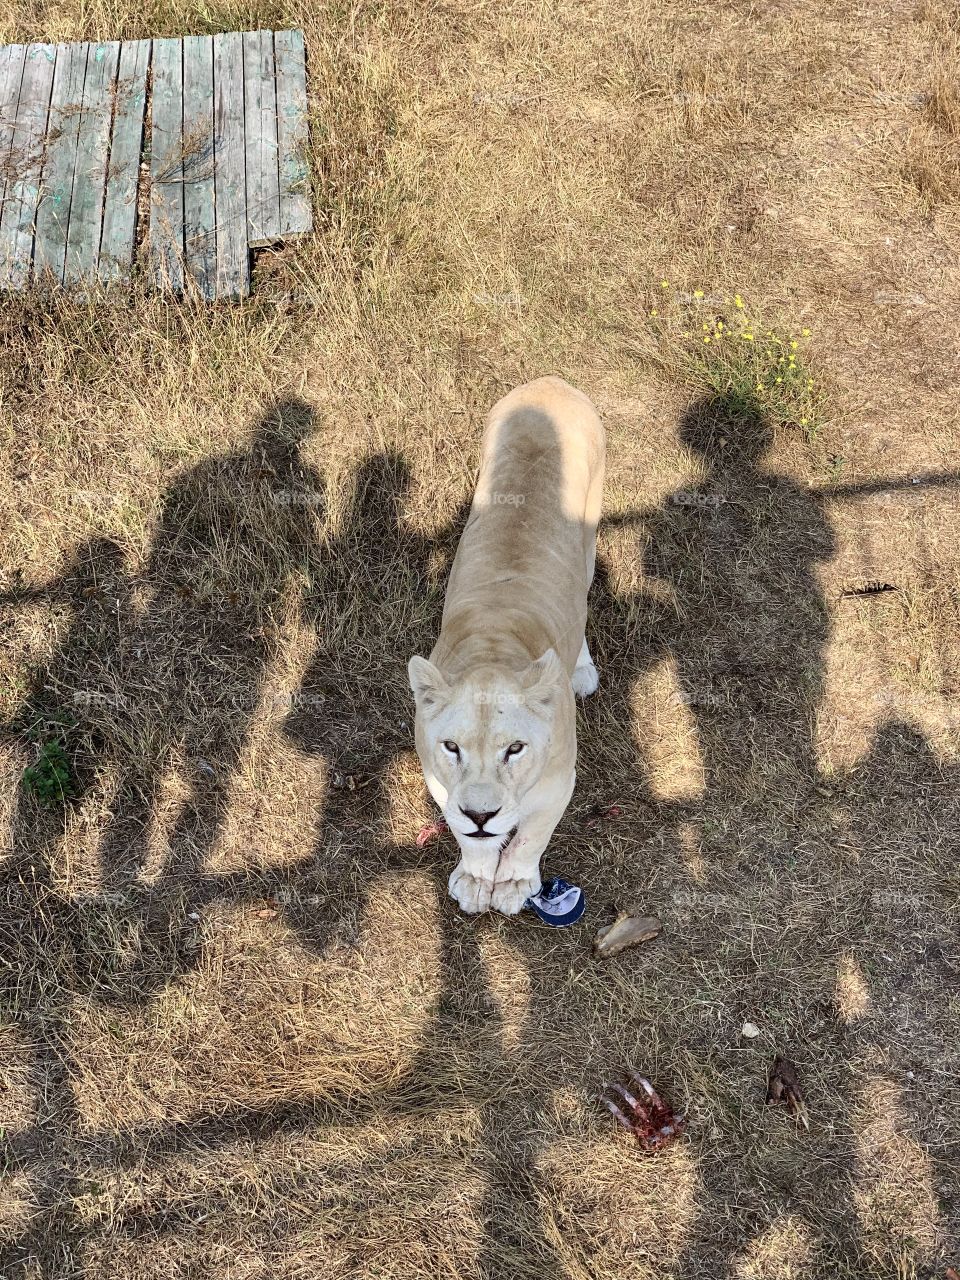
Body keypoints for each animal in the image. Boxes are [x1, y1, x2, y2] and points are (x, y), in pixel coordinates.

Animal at [408, 376, 605, 915]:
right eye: (451, 747)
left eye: (515, 749)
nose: (482, 814)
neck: (494, 649)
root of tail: (551, 382)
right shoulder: (440, 780)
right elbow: (465, 834)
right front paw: (477, 877)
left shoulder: (560, 780)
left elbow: (532, 834)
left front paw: (515, 883)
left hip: (590, 535)